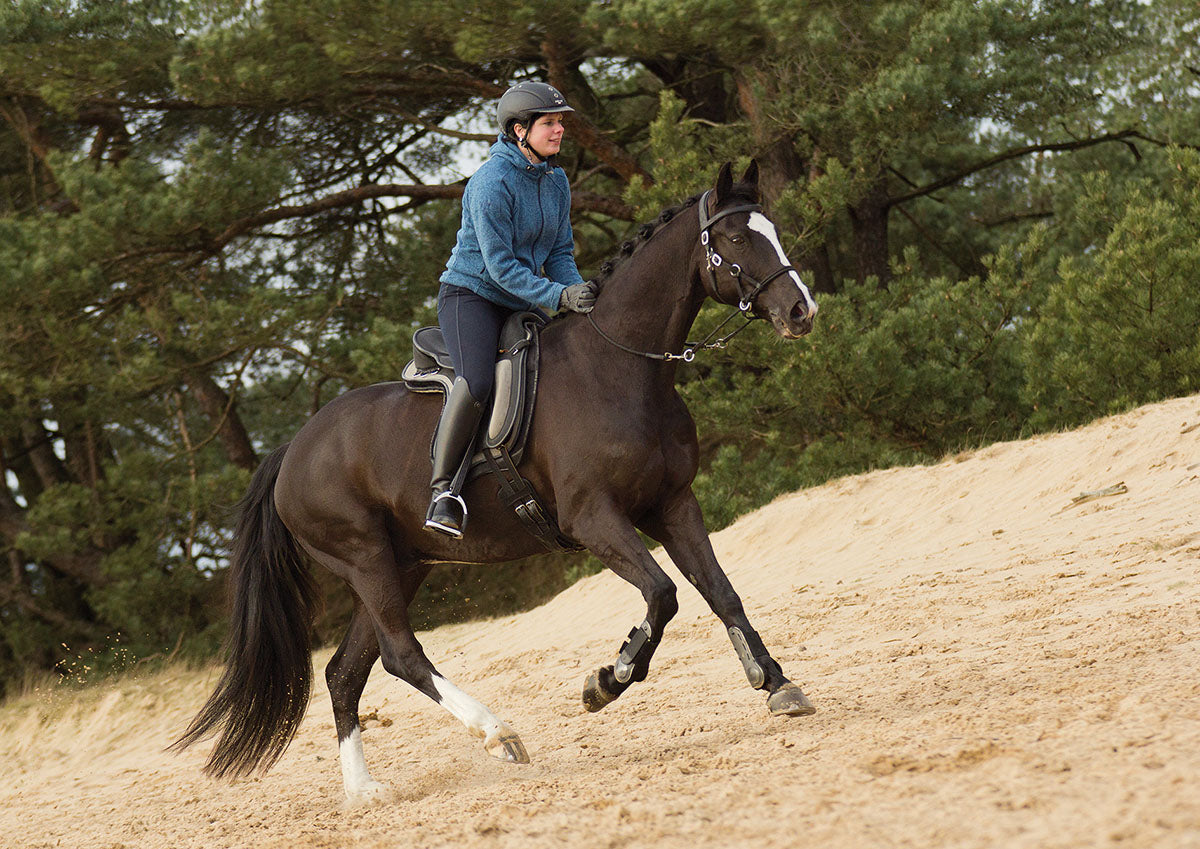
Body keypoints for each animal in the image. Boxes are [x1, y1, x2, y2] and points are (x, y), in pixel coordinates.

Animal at [175, 159, 816, 801]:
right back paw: (498, 733)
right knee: (401, 654)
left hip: (403, 563)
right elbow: (662, 594)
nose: (801, 312)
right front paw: (608, 679)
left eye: (773, 229)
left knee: (345, 672)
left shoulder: (674, 505)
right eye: (735, 238)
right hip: (364, 558)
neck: (619, 369)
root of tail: (292, 451)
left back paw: (363, 791)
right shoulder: (593, 518)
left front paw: (776, 684)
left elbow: (721, 592)